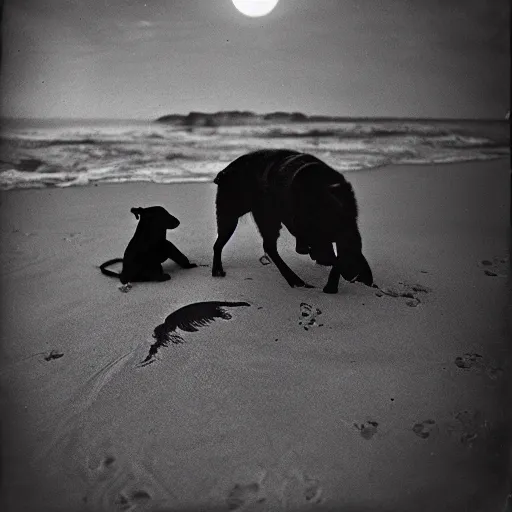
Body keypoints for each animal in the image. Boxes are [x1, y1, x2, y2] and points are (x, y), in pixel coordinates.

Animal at [211, 149, 372, 292]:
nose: (321, 258)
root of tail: (224, 172)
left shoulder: (345, 228)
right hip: (238, 215)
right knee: (237, 245)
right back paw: (294, 280)